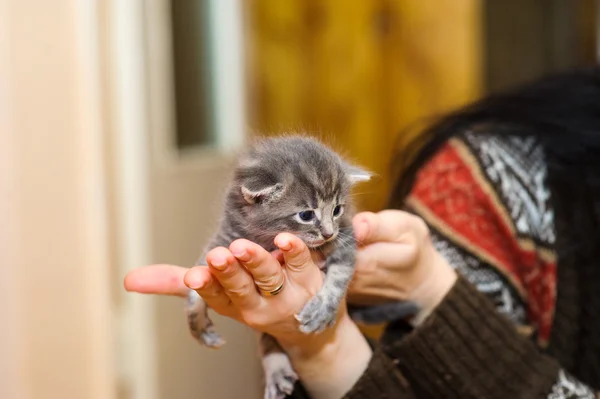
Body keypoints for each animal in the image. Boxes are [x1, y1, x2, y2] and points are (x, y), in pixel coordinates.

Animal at [188, 135, 418, 399]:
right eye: (306, 215)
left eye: (337, 210)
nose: (328, 233)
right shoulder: (225, 237)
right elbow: (196, 284)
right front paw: (198, 324)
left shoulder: (346, 239)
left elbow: (339, 277)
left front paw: (323, 309)